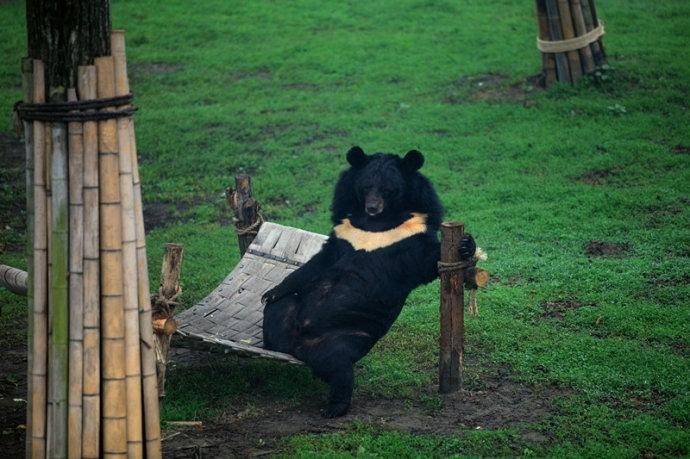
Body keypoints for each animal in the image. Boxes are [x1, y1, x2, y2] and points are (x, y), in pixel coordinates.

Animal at [262, 146, 476, 417]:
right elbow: (319, 262)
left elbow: (428, 259)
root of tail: (294, 344)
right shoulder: (345, 233)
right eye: (365, 188)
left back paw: (334, 407)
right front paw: (271, 291)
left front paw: (466, 245)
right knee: (277, 310)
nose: (373, 207)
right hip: (287, 311)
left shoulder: (408, 238)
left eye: (388, 189)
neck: (375, 224)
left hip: (345, 336)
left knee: (339, 366)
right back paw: (269, 334)